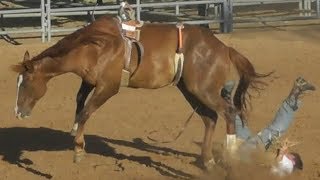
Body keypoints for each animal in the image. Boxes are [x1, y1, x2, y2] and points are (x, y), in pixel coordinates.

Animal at [11, 14, 268, 170]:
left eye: (26, 82)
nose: (18, 112)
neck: (93, 46)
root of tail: (223, 47)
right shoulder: (89, 80)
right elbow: (79, 101)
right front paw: (74, 130)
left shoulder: (108, 87)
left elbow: (85, 112)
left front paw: (78, 150)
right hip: (189, 90)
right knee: (211, 118)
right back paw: (208, 161)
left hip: (203, 90)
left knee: (229, 112)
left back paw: (231, 154)